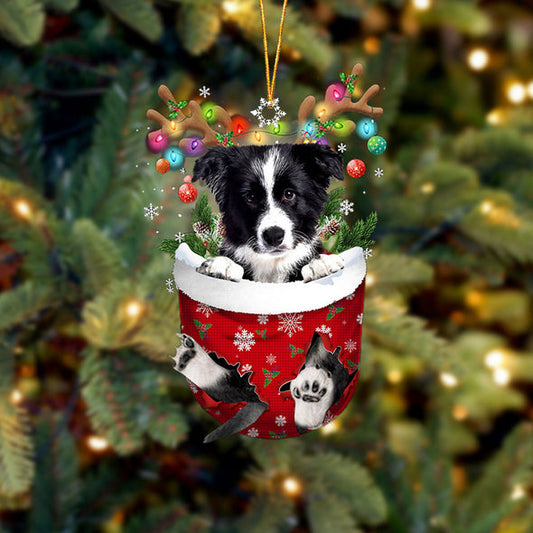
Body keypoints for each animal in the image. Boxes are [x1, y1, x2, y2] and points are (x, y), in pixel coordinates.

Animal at [193, 141, 342, 282]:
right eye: (250, 197)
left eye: (289, 194)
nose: (274, 236)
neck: (273, 265)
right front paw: (223, 264)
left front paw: (318, 263)